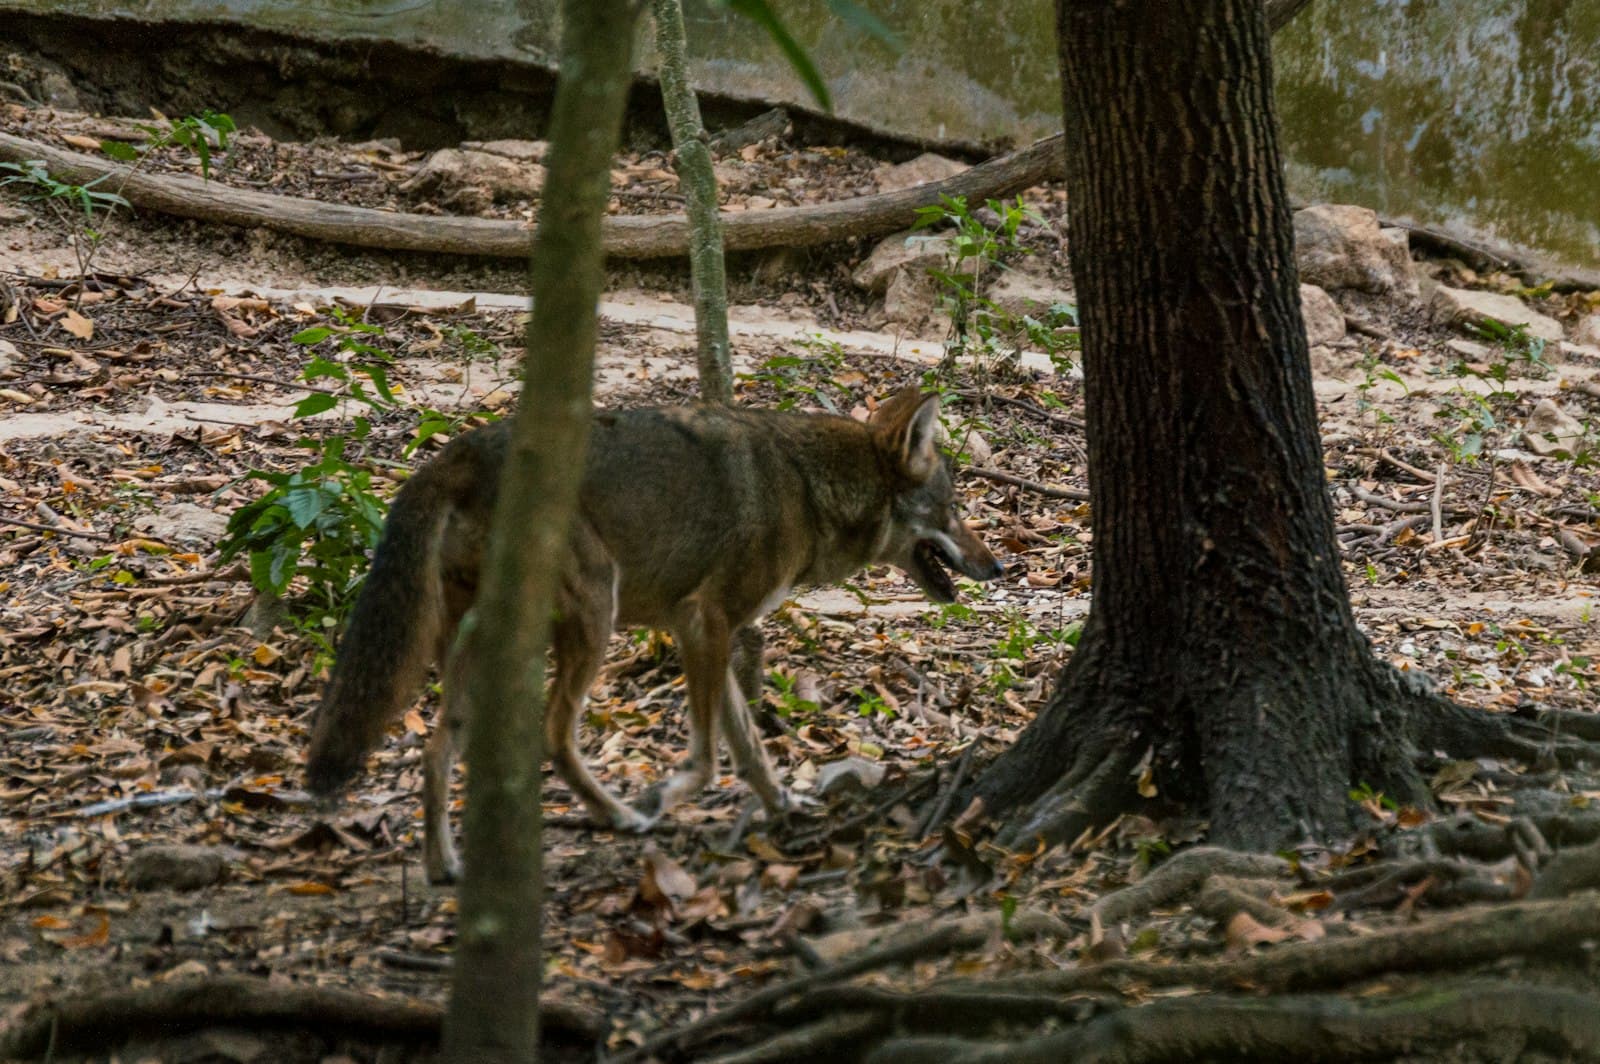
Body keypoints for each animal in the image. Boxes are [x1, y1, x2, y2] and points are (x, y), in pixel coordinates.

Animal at [303, 386, 1002, 882]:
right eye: (953, 510)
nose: (999, 567)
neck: (809, 489)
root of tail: (456, 454)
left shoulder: (709, 634)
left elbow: (749, 746)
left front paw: (784, 807)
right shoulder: (704, 622)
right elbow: (708, 757)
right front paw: (660, 794)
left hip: (479, 649)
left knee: (435, 749)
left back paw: (443, 864)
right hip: (593, 615)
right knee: (552, 735)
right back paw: (616, 815)